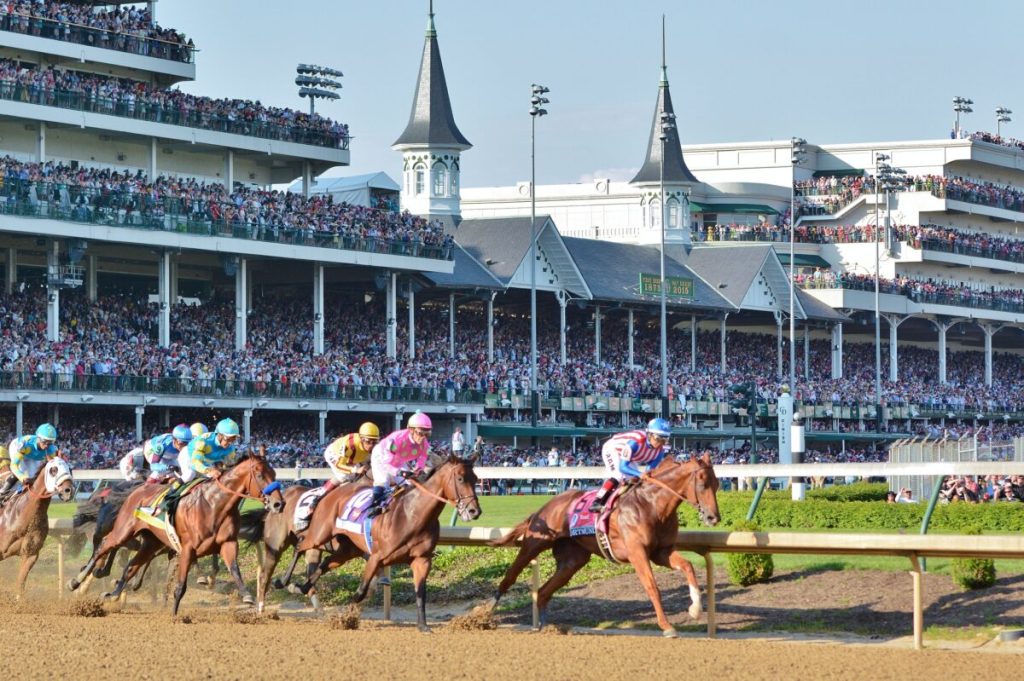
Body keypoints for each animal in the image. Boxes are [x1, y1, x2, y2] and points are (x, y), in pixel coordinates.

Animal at [66, 450, 284, 614]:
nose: (278, 503)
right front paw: (174, 615)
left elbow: (234, 569)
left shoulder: (228, 543)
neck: (214, 504)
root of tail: (135, 491)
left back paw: (113, 593)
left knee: (131, 565)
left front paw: (247, 596)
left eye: (274, 474)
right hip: (124, 531)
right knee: (104, 546)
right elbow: (180, 585)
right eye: (259, 474)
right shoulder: (186, 548)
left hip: (151, 542)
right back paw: (77, 581)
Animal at [284, 456, 483, 630]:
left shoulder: (422, 560)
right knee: (300, 547)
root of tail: (330, 493)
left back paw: (302, 587)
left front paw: (423, 626)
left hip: (347, 549)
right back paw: (284, 581)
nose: (475, 511)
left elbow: (420, 593)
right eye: (460, 478)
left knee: (324, 563)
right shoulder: (376, 557)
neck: (412, 515)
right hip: (320, 535)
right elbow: (361, 591)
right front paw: (346, 618)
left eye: (475, 479)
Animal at [489, 450, 720, 639]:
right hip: (534, 543)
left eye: (717, 484)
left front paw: (695, 609)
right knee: (510, 576)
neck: (652, 505)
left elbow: (688, 566)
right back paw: (487, 611)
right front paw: (667, 626)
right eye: (702, 484)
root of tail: (544, 507)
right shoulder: (637, 553)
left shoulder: (661, 552)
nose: (713, 518)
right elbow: (652, 587)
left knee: (544, 591)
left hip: (572, 560)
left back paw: (547, 626)